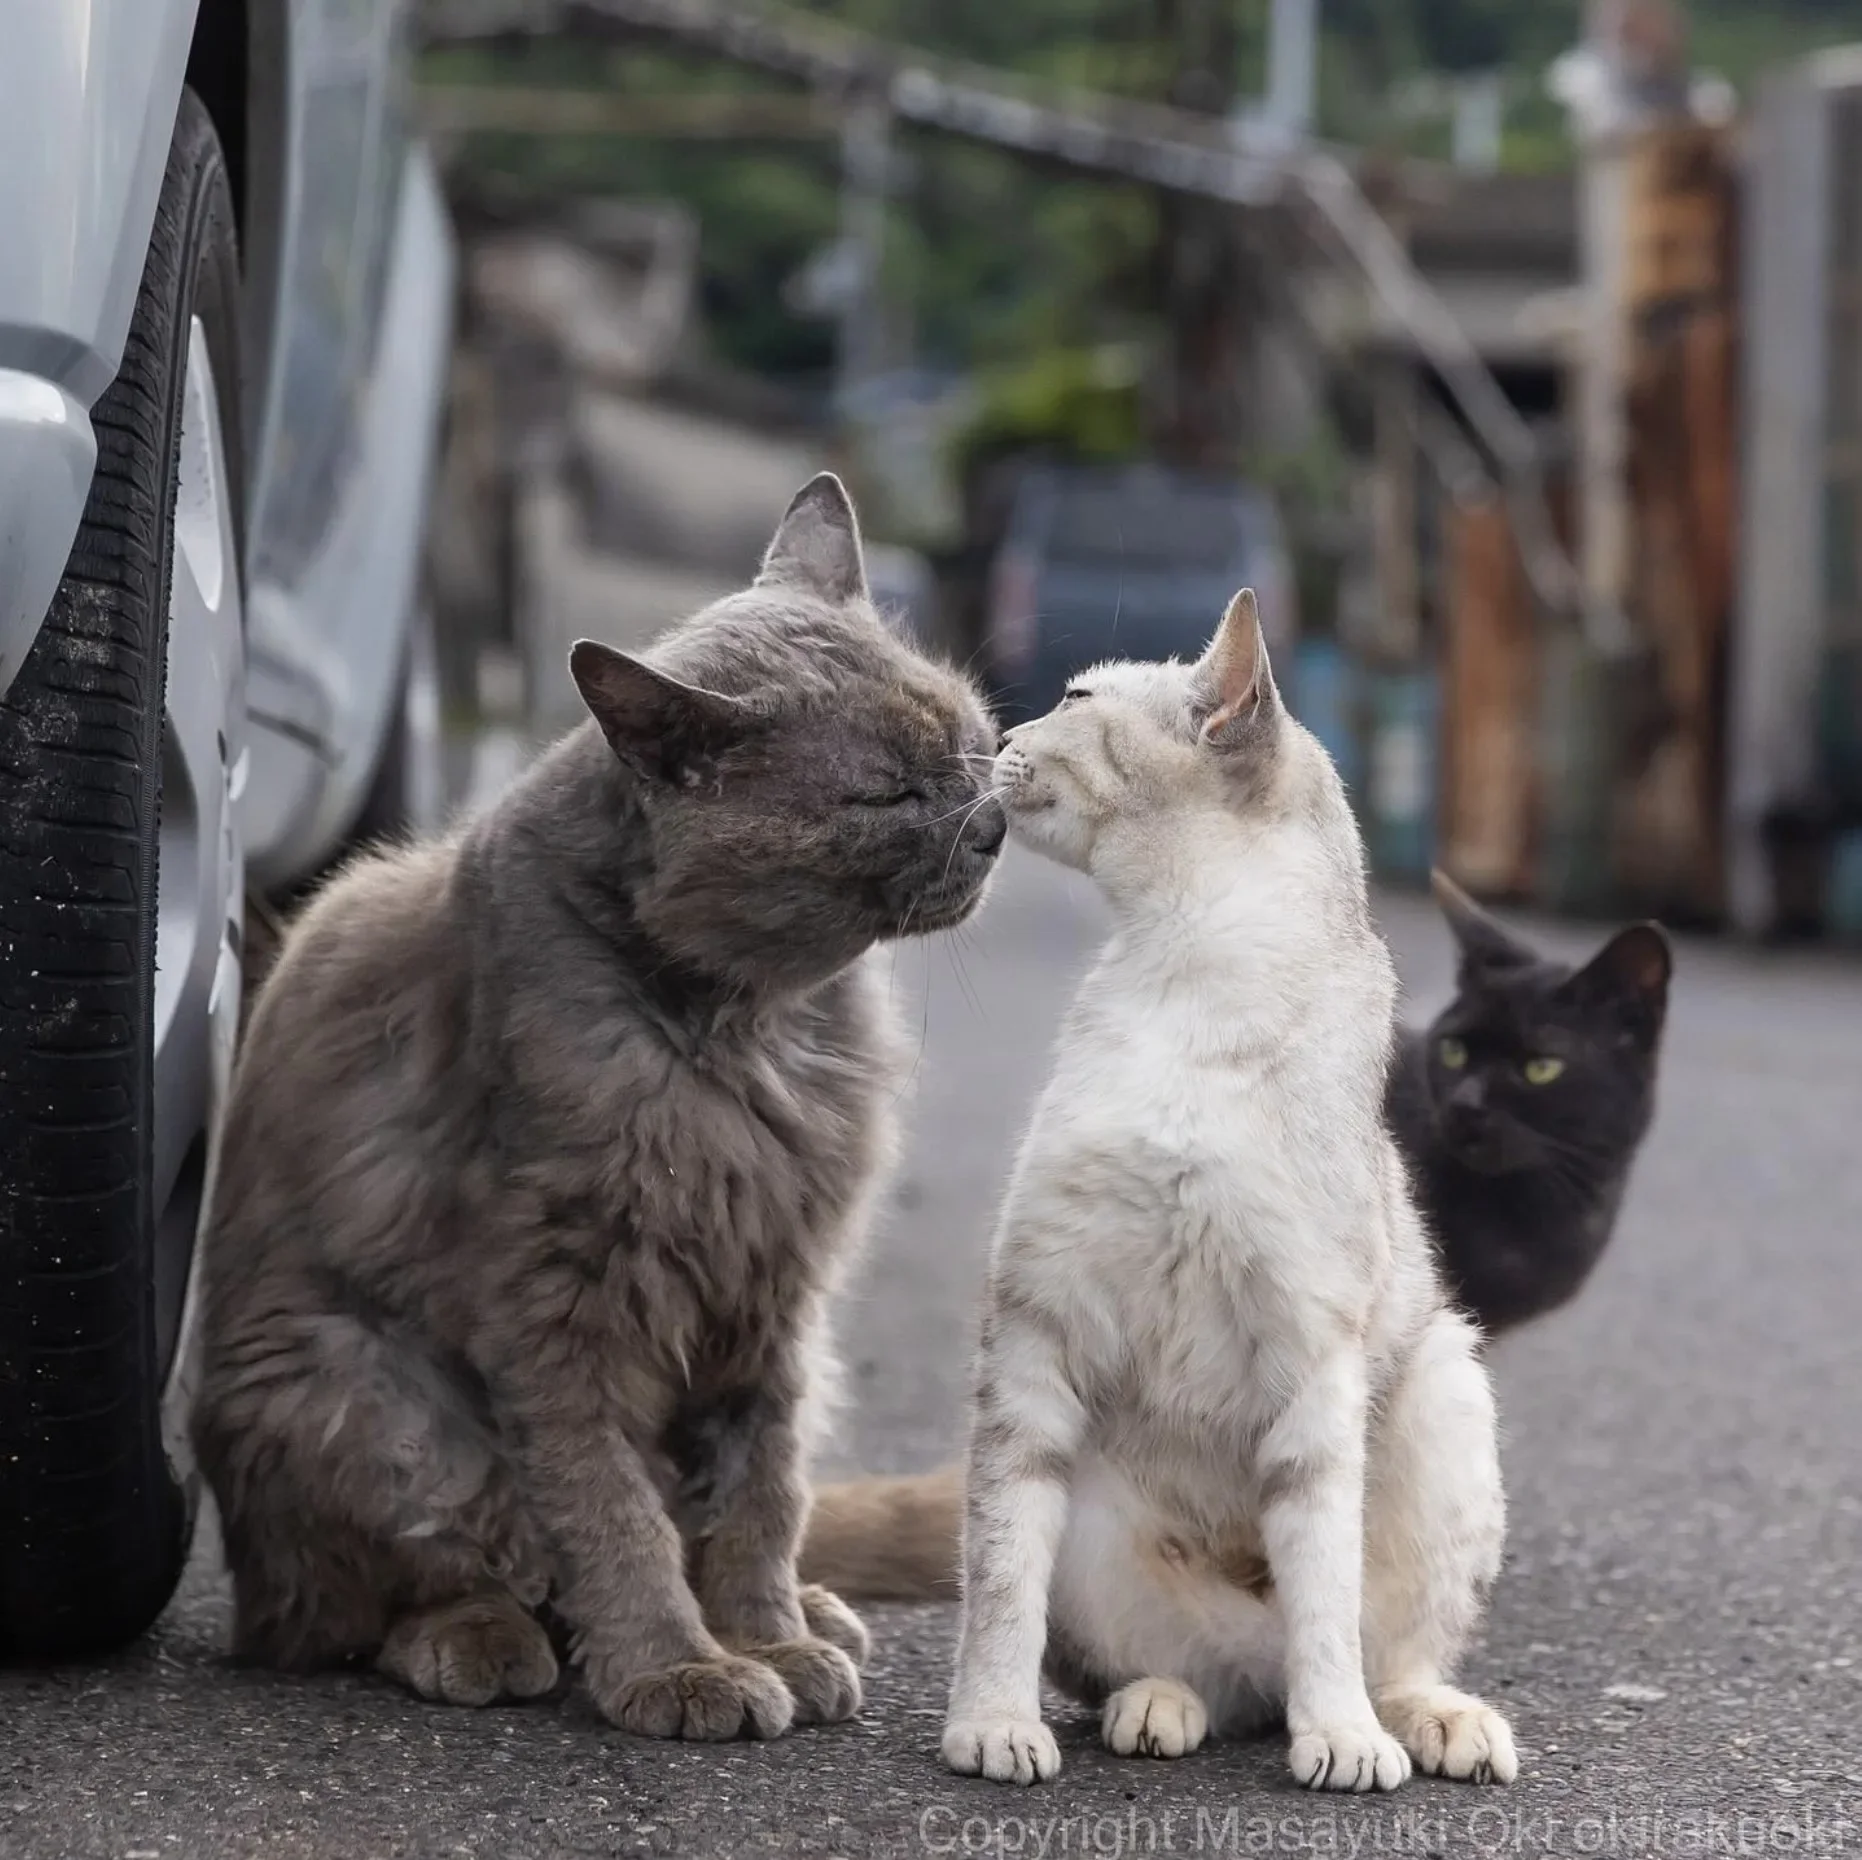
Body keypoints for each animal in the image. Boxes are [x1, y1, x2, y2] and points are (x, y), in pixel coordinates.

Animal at [192, 476, 1005, 1742]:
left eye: (971, 739)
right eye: (884, 792)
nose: (990, 820)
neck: (754, 1030)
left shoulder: (775, 1302)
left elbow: (759, 1498)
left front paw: (767, 1637)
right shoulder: (557, 1307)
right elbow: (611, 1512)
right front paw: (681, 1670)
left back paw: (819, 1614)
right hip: (354, 1391)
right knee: (362, 1608)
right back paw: (480, 1641)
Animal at [945, 592, 1511, 1787]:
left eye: (1073, 700)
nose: (996, 740)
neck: (1187, 974)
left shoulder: (1313, 1358)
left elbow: (1323, 1590)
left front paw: (1341, 1738)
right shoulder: (1036, 1324)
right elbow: (1003, 1572)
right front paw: (991, 1724)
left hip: (1448, 1381)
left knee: (1367, 1653)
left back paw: (1418, 1720)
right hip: (1107, 1525)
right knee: (1185, 1673)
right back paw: (1161, 1706)